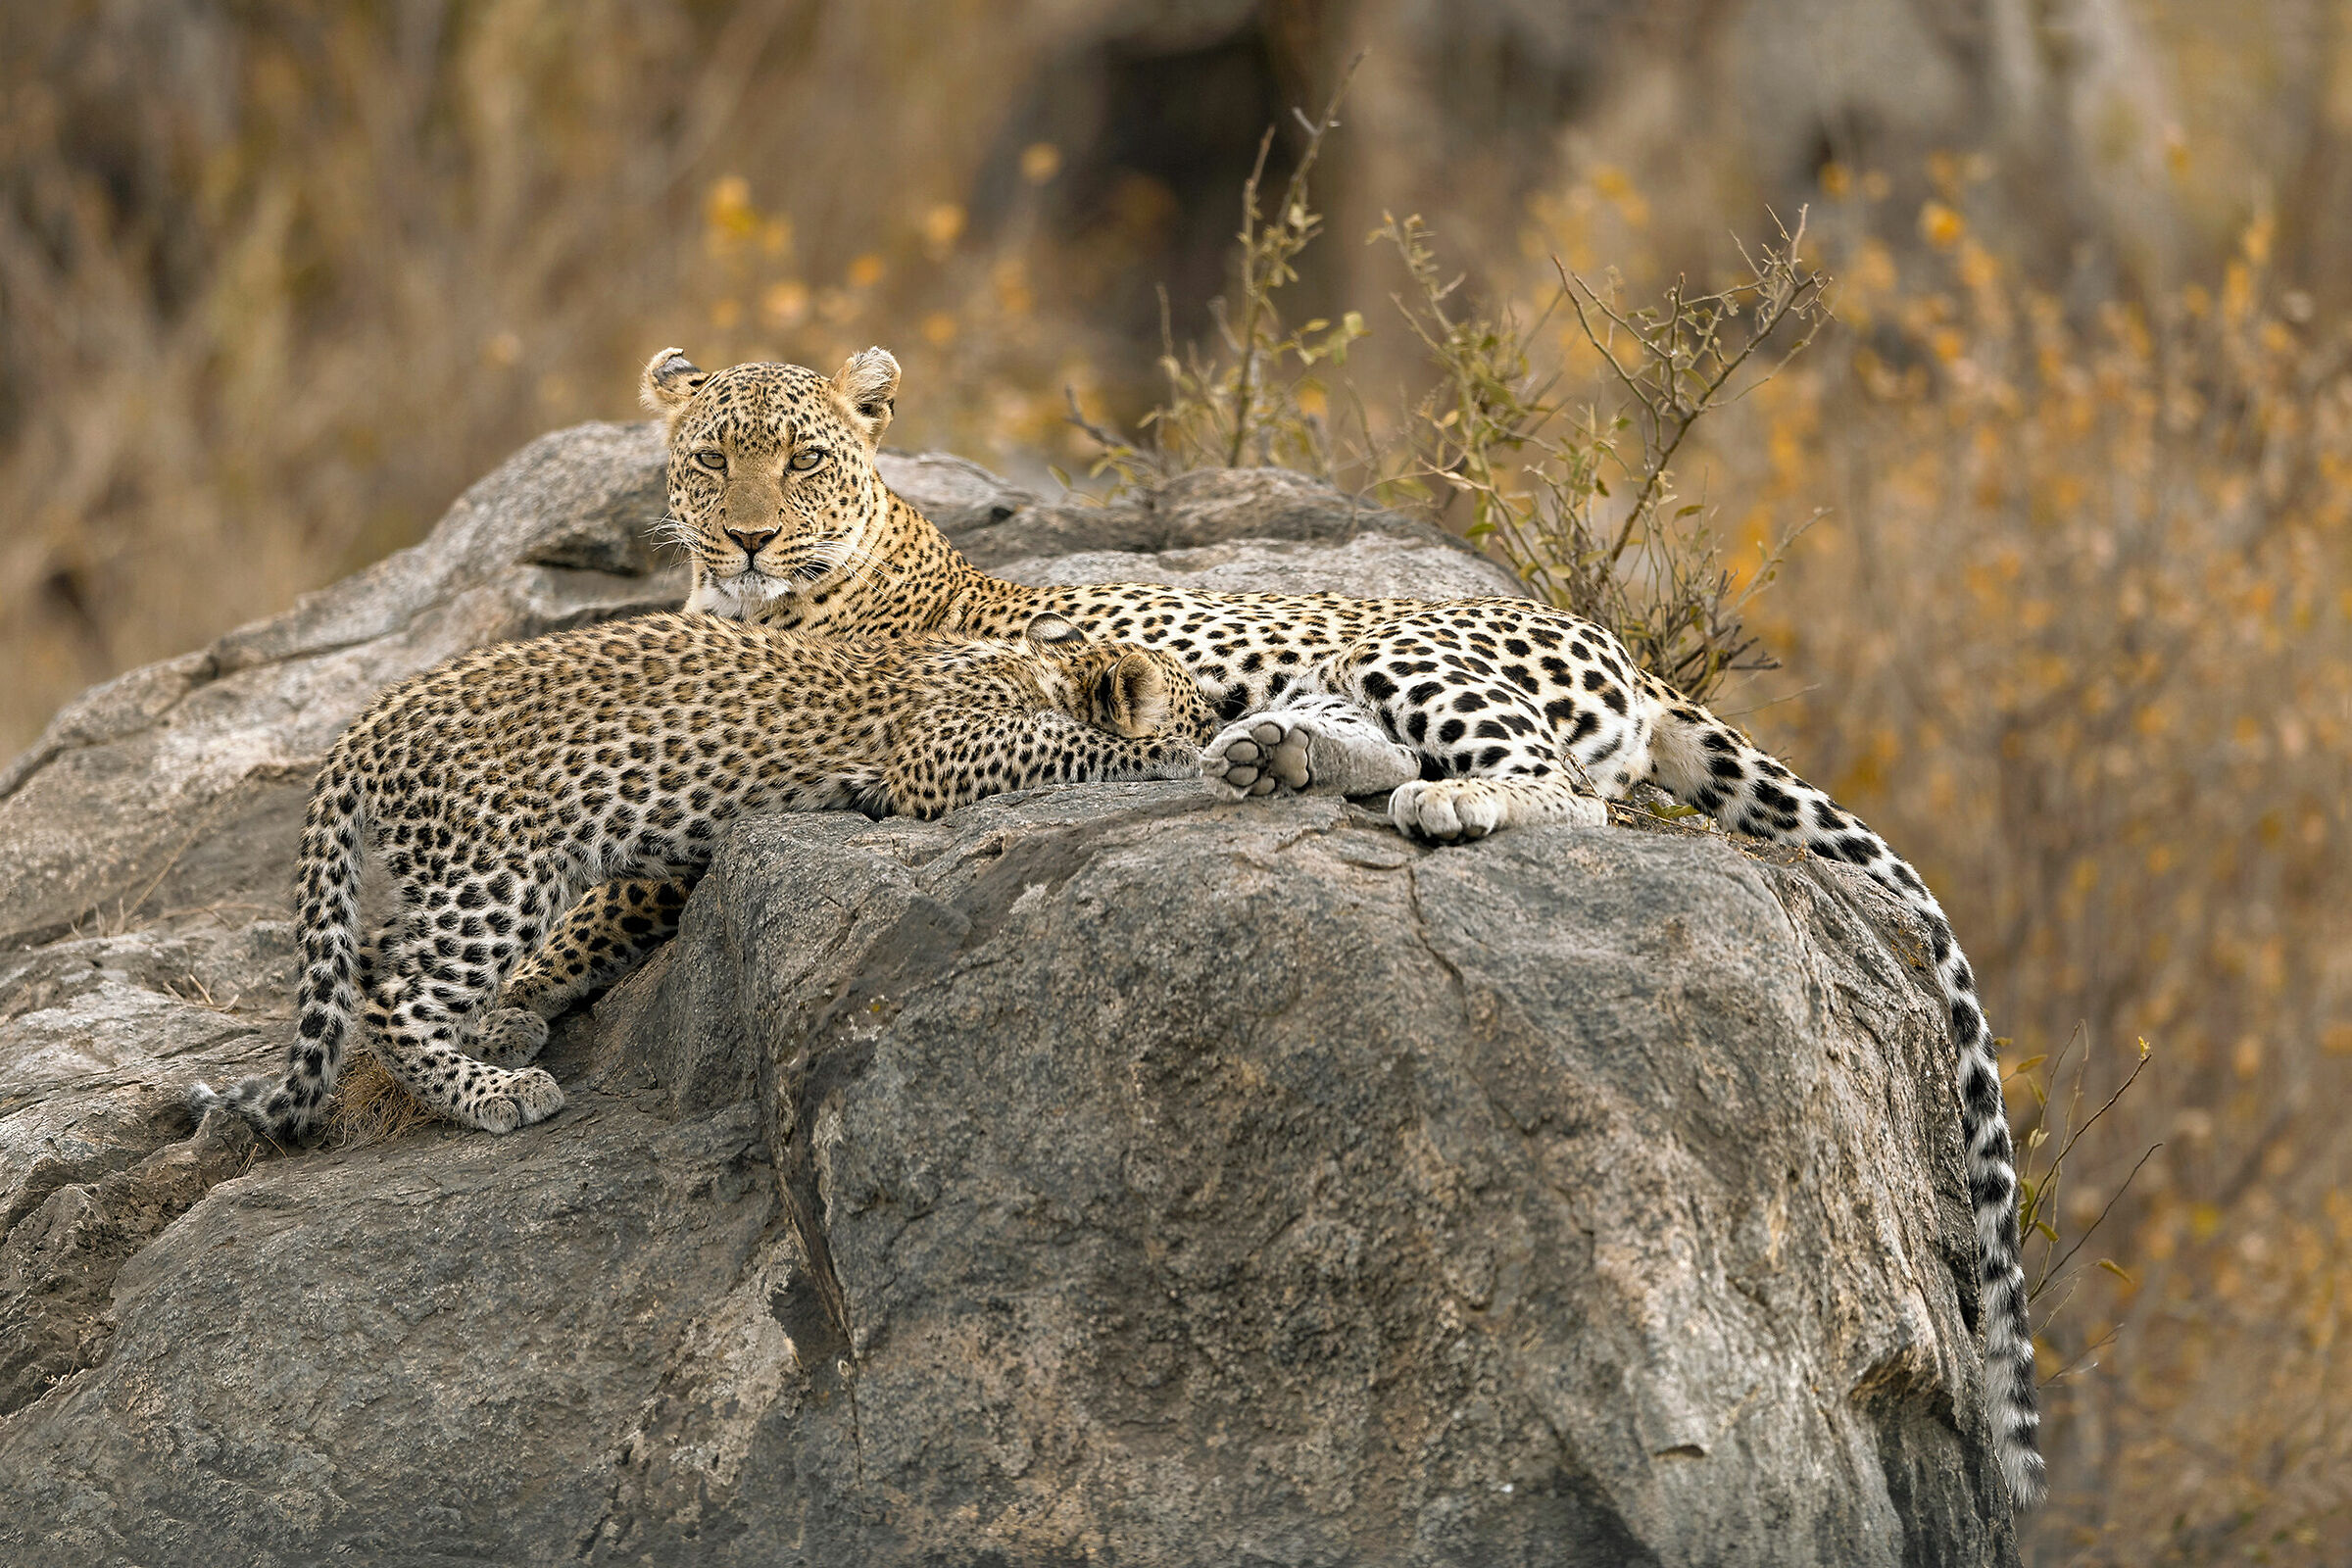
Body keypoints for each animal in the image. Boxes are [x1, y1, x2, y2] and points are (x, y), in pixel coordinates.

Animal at [187, 609, 1207, 1142]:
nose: (1212, 718)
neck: (1040, 664)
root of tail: (361, 726)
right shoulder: (943, 751)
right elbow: (1076, 746)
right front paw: (1182, 753)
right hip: (498, 869)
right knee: (391, 992)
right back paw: (495, 1093)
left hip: (451, 870)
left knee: (377, 959)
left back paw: (500, 1029)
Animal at [502, 344, 2043, 1507]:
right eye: (713, 461)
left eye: (806, 460)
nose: (751, 537)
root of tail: (1619, 643)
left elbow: (604, 882)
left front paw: (508, 1003)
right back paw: (1273, 756)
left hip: (1422, 655)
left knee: (1565, 801)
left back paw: (1440, 803)